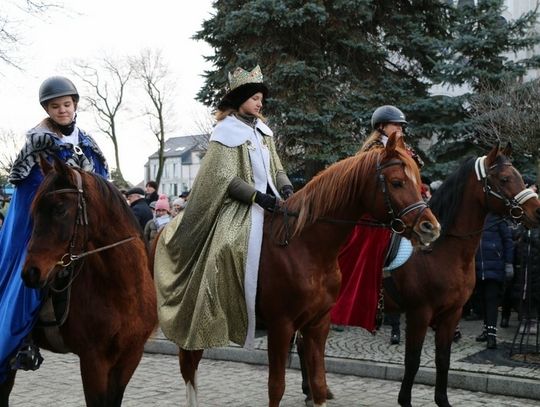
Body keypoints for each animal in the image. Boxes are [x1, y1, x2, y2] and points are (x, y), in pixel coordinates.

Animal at [1, 158, 158, 406]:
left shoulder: (130, 356)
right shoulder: (94, 360)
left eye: (59, 208)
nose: (31, 273)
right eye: (32, 211)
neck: (124, 292)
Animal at [169, 132, 442, 406]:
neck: (308, 249)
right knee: (189, 366)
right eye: (397, 182)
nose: (430, 227)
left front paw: (315, 394)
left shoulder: (318, 323)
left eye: (418, 180)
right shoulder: (281, 326)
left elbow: (319, 382)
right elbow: (276, 387)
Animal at [384, 144, 540, 407]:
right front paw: (405, 400)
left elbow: (443, 359)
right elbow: (412, 361)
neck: (440, 251)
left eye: (519, 175)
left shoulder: (452, 313)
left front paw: (442, 400)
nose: (537, 211)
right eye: (505, 178)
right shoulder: (419, 313)